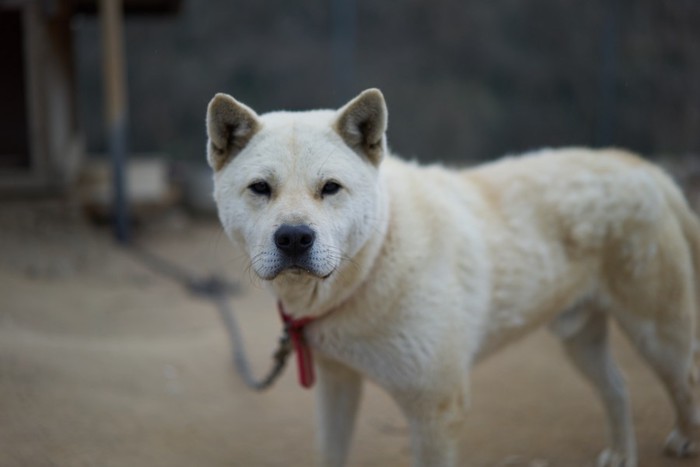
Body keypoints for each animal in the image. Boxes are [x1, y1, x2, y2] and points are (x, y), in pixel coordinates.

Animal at [206, 88, 700, 467]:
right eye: (260, 188)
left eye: (330, 188)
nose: (293, 237)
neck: (374, 263)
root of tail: (638, 165)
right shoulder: (336, 383)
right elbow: (331, 453)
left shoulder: (436, 410)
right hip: (579, 337)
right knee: (618, 387)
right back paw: (621, 453)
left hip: (660, 336)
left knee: (687, 379)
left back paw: (684, 439)